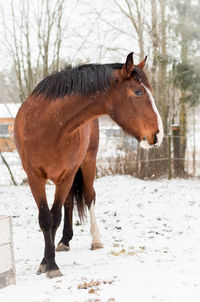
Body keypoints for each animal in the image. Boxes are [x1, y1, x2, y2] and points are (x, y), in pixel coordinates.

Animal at [14, 52, 164, 278]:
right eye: (138, 92)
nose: (158, 135)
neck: (51, 125)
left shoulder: (67, 175)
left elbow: (55, 217)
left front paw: (51, 264)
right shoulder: (35, 177)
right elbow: (46, 219)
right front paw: (47, 261)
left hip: (87, 163)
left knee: (89, 196)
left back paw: (95, 240)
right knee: (69, 202)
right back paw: (64, 241)